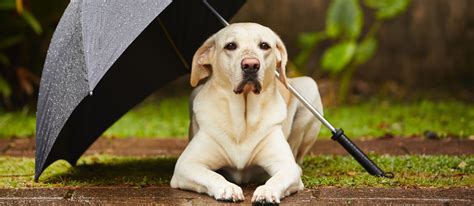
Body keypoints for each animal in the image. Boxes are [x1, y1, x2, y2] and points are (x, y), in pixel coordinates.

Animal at [170, 22, 322, 204]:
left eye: (264, 45)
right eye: (230, 46)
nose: (251, 65)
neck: (243, 119)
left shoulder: (285, 165)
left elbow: (278, 178)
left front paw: (267, 191)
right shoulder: (186, 164)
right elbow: (212, 175)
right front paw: (227, 188)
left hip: (310, 87)